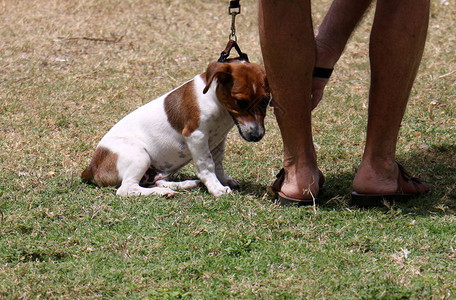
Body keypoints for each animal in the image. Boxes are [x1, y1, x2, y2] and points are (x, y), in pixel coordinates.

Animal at [81, 59, 268, 198]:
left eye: (266, 101)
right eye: (240, 102)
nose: (257, 136)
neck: (216, 101)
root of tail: (92, 168)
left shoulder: (218, 139)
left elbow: (218, 162)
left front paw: (223, 180)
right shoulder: (196, 135)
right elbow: (207, 164)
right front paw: (216, 187)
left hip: (154, 170)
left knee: (156, 181)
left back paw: (186, 184)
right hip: (139, 156)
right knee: (126, 189)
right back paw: (163, 192)